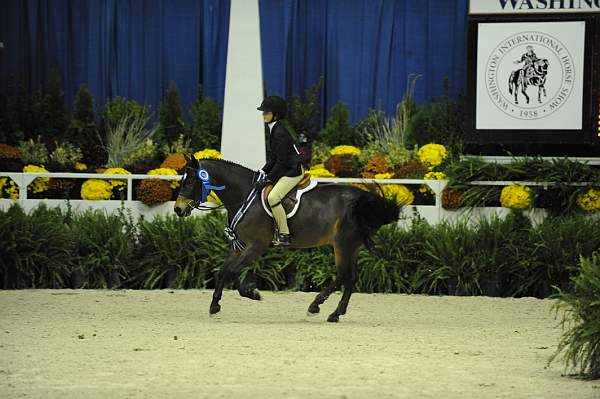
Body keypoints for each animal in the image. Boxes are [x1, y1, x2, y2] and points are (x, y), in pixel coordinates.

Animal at [173, 158, 398, 324]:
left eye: (190, 181)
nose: (178, 209)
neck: (245, 196)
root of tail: (362, 197)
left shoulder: (256, 246)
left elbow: (233, 272)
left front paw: (252, 294)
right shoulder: (239, 246)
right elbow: (224, 272)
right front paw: (215, 305)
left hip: (343, 245)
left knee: (343, 276)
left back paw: (315, 306)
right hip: (351, 247)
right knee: (350, 278)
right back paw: (335, 313)